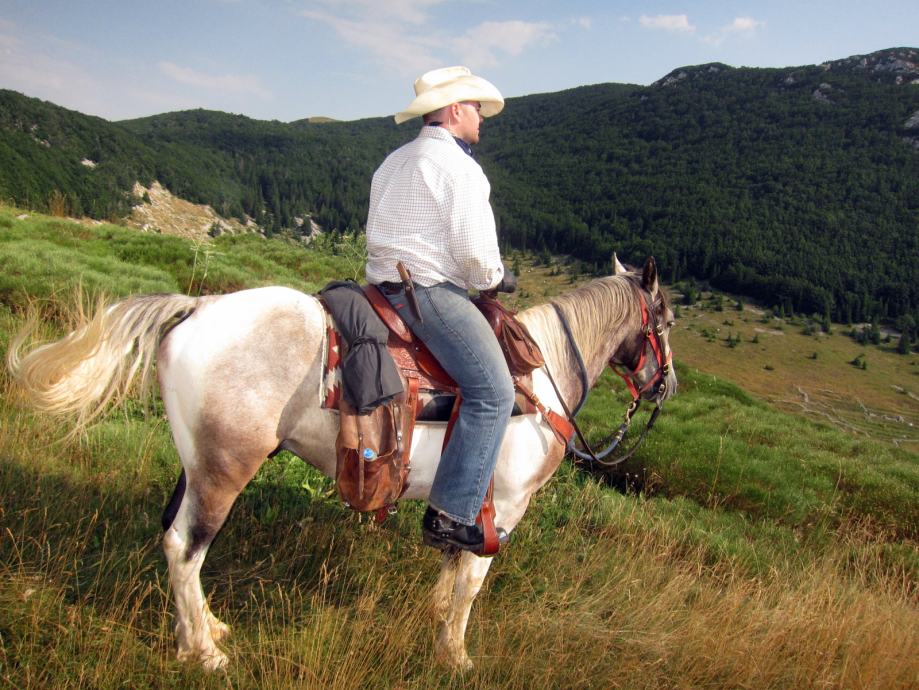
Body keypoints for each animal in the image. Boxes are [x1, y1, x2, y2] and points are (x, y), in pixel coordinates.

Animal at [9, 255, 676, 668]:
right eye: (666, 322)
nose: (665, 385)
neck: (542, 377)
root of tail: (198, 306)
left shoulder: (471, 504)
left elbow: (452, 569)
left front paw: (436, 624)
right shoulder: (507, 507)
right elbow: (471, 585)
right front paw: (456, 655)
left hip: (194, 466)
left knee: (176, 540)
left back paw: (201, 630)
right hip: (225, 470)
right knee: (184, 547)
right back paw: (206, 653)